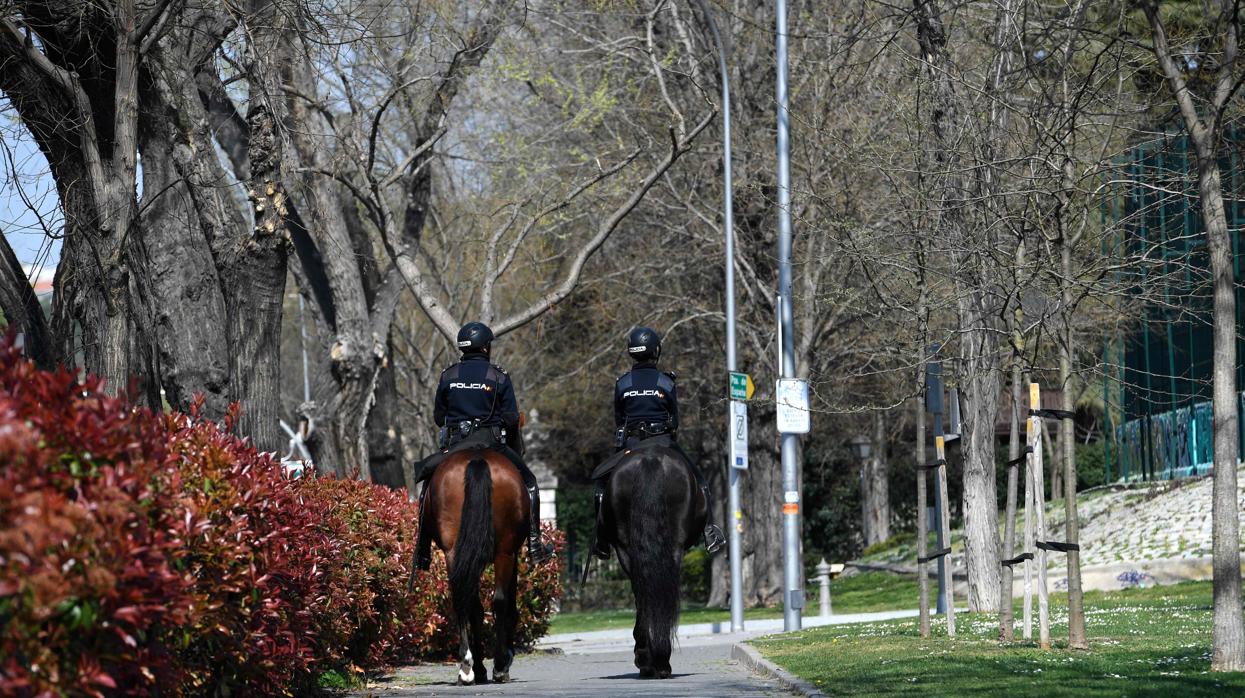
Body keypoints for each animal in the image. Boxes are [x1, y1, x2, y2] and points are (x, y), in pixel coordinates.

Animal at [423, 447, 530, 681]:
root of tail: (477, 457)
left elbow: (475, 608)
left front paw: (478, 666)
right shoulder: (513, 555)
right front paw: (501, 660)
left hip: (454, 551)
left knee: (462, 598)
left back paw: (466, 664)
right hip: (504, 552)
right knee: (499, 601)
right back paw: (499, 665)